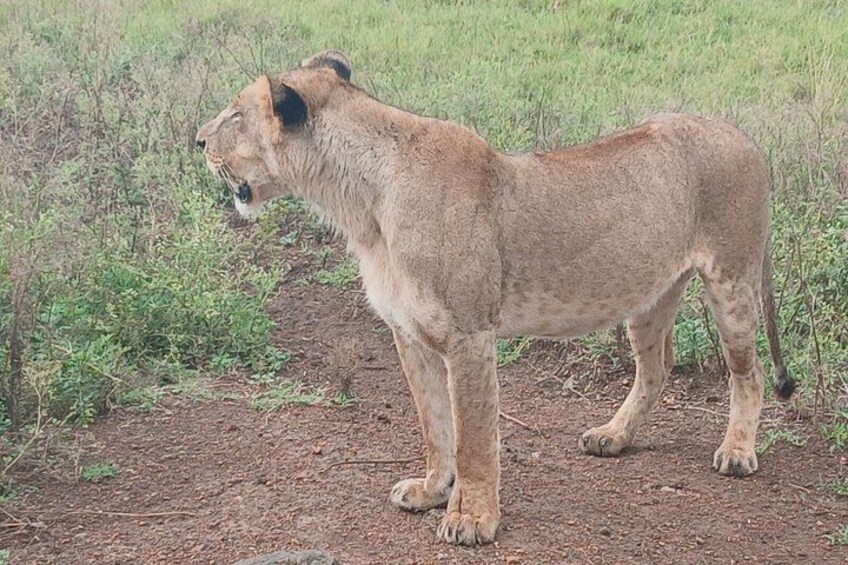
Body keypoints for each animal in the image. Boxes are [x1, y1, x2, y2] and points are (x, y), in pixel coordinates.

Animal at [196, 50, 794, 546]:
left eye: (234, 116)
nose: (198, 141)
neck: (360, 204)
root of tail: (746, 137)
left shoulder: (469, 335)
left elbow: (473, 437)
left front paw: (470, 518)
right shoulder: (409, 334)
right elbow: (434, 424)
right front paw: (432, 491)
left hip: (732, 280)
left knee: (748, 373)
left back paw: (737, 452)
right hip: (651, 292)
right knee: (658, 365)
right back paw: (613, 437)